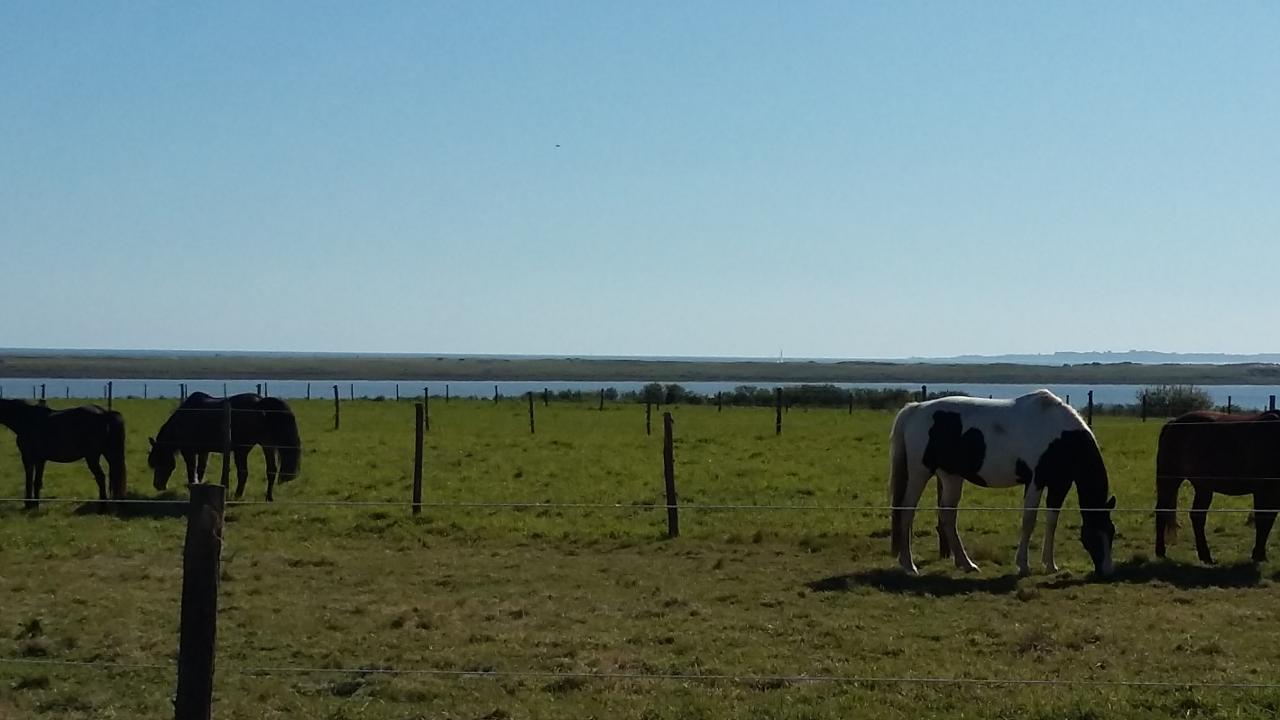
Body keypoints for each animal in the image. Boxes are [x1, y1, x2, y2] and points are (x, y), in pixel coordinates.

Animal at [148, 392, 300, 499]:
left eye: (159, 461)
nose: (157, 485)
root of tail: (261, 402)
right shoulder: (203, 452)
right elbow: (200, 470)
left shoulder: (189, 451)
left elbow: (192, 470)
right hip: (267, 445)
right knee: (271, 470)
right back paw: (268, 497)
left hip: (242, 450)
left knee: (243, 472)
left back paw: (237, 495)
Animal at [885, 389, 1116, 573]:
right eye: (1094, 535)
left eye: (1111, 533)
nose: (1106, 570)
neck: (1063, 438)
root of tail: (916, 409)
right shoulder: (1036, 482)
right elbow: (1029, 521)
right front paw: (1023, 565)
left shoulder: (1060, 483)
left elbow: (1052, 521)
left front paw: (1050, 565)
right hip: (920, 473)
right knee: (907, 512)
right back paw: (909, 565)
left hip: (951, 477)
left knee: (947, 517)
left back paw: (966, 563)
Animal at [1152, 409, 1280, 561]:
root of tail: (1173, 422)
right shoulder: (1262, 491)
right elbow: (1263, 521)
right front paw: (1258, 555)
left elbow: (1268, 521)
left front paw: (1261, 555)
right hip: (1170, 480)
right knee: (1162, 511)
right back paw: (1161, 551)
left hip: (1203, 487)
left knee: (1197, 516)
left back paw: (1205, 556)